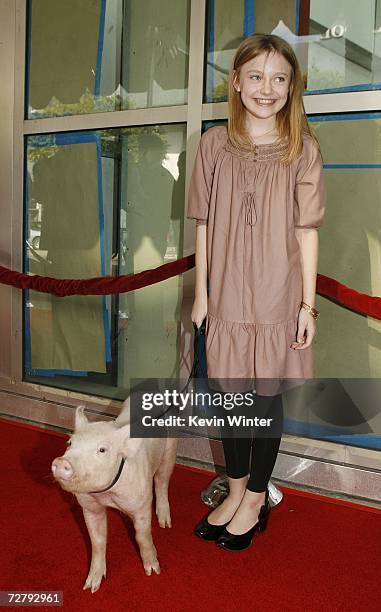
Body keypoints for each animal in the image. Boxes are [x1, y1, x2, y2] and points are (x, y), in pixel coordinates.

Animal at [50, 406, 178, 592]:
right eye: (70, 443)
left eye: (102, 450)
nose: (61, 462)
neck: (107, 495)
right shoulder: (89, 507)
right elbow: (97, 540)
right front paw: (91, 587)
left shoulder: (142, 504)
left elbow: (142, 535)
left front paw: (153, 571)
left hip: (171, 447)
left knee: (162, 480)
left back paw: (165, 523)